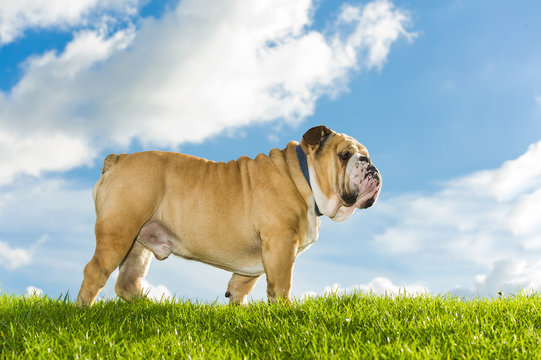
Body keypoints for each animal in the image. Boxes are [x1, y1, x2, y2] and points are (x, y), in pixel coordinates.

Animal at [76, 125, 382, 306]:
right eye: (345, 155)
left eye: (366, 155)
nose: (370, 166)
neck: (303, 178)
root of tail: (118, 158)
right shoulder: (281, 243)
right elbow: (281, 284)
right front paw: (285, 312)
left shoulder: (263, 254)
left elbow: (242, 284)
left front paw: (238, 309)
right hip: (119, 230)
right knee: (95, 271)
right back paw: (84, 311)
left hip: (138, 245)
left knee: (127, 281)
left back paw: (150, 309)